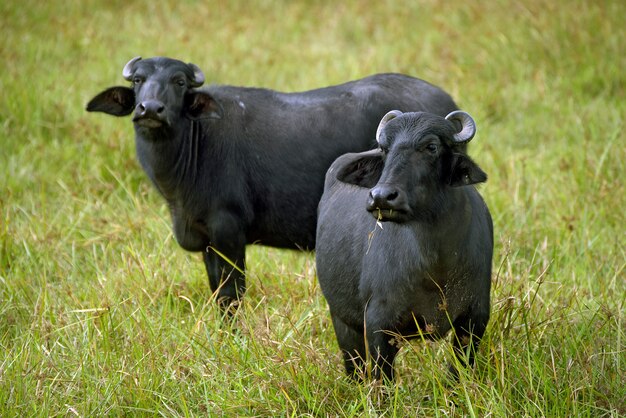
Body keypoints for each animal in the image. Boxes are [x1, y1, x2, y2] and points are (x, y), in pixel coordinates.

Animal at [85, 57, 456, 314]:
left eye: (178, 81)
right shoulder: (206, 242)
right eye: (138, 79)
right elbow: (216, 291)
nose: (150, 109)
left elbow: (231, 297)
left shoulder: (228, 233)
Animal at [314, 109, 490, 380]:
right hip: (342, 320)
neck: (436, 264)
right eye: (385, 149)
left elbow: (458, 371)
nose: (381, 197)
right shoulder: (378, 323)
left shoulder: (475, 318)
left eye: (431, 147)